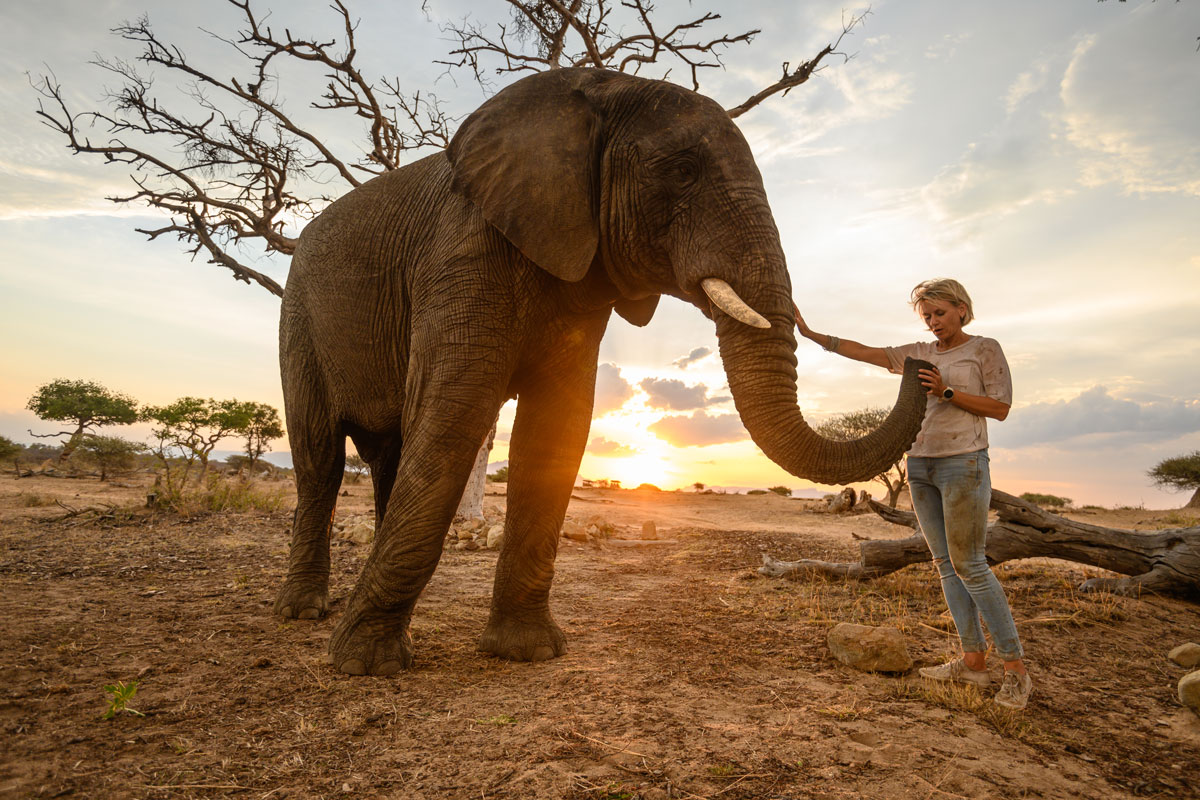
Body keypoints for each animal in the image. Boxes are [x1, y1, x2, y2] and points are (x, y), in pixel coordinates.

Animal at [274, 67, 930, 675]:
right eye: (683, 170)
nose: (921, 362)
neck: (594, 90)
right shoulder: (462, 251)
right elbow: (454, 414)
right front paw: (363, 665)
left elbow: (558, 427)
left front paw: (528, 653)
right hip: (298, 314)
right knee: (320, 456)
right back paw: (303, 612)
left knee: (385, 456)